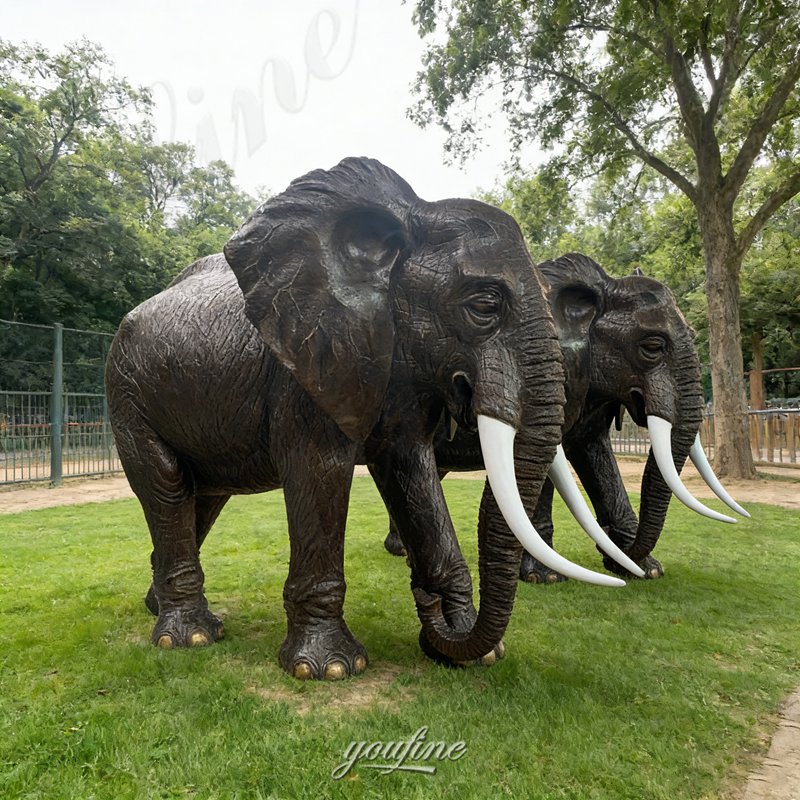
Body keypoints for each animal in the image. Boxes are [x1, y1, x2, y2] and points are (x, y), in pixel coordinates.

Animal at [106, 158, 624, 682]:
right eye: (484, 305)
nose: (425, 599)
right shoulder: (304, 373)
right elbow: (321, 472)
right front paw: (329, 669)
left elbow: (412, 472)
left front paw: (470, 650)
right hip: (126, 393)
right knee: (167, 483)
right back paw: (188, 638)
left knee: (203, 494)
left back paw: (161, 611)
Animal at [383, 253, 747, 582]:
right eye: (653, 347)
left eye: (693, 334)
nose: (627, 559)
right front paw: (543, 578)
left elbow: (595, 454)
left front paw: (647, 570)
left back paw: (400, 551)